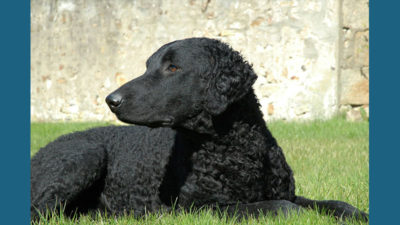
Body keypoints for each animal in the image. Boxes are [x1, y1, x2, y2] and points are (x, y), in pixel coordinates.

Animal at [31, 37, 368, 221]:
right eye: (148, 66)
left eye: (173, 67)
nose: (111, 100)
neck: (236, 151)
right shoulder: (202, 208)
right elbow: (281, 208)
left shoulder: (289, 191)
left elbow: (332, 204)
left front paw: (357, 214)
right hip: (84, 155)